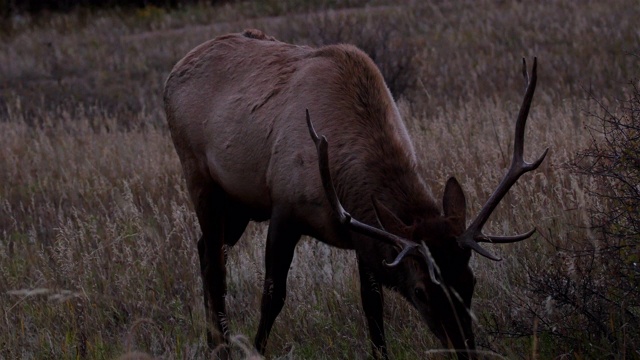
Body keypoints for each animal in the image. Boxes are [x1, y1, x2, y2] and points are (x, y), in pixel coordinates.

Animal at [162, 29, 548, 358]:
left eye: (470, 281)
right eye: (421, 291)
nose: (465, 349)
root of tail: (172, 74)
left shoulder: (367, 236)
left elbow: (372, 307)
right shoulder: (285, 209)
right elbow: (273, 295)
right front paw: (256, 349)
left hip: (239, 204)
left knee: (205, 249)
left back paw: (214, 341)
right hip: (199, 176)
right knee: (215, 264)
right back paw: (221, 347)